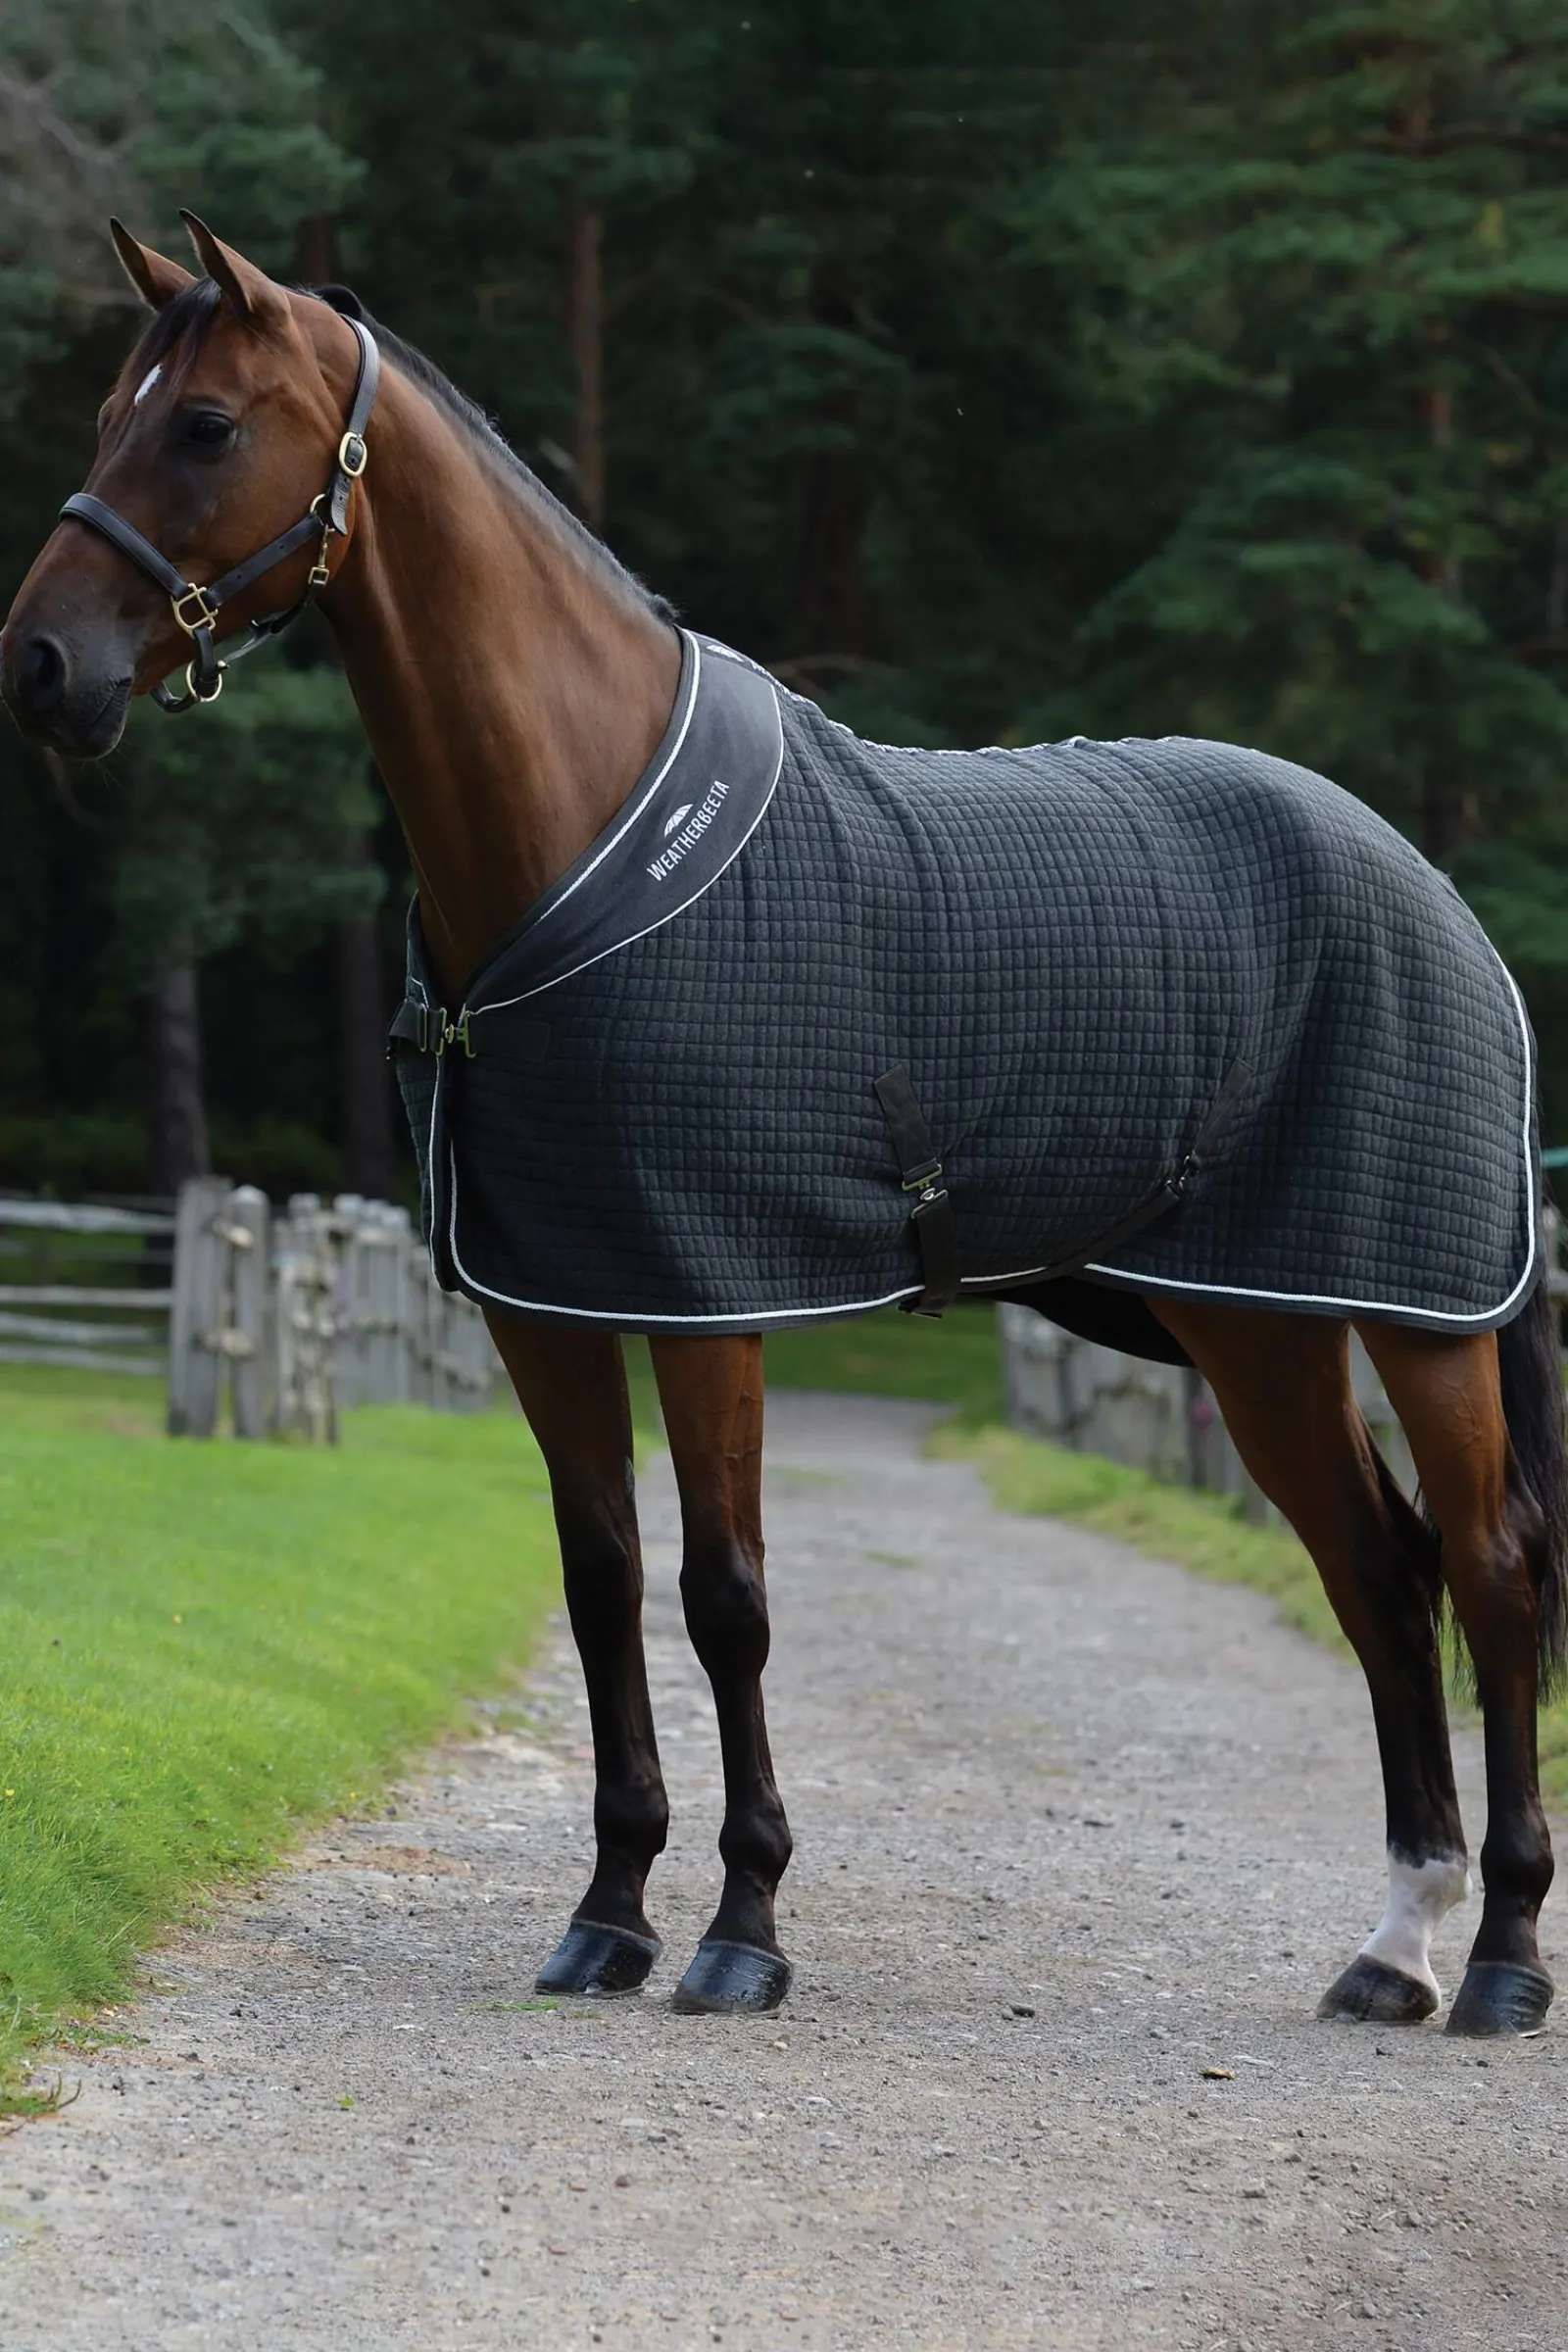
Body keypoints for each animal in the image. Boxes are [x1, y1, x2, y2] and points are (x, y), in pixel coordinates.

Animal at [3, 215, 1563, 2038]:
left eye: (204, 427)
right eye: (111, 411)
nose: (43, 665)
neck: (588, 834)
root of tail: (1426, 886)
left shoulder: (710, 1300)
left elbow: (724, 1597)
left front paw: (743, 1927)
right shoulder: (552, 1306)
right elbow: (603, 1583)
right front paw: (607, 1916)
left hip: (1420, 1317)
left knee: (1491, 1570)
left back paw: (1502, 1958)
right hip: (1262, 1325)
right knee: (1379, 1574)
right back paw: (1395, 1946)